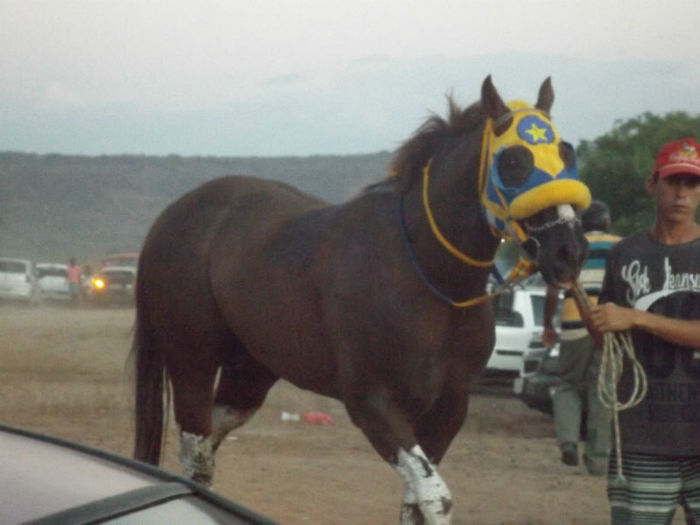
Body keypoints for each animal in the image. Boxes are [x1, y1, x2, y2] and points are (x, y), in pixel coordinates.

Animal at [132, 76, 591, 524]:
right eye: (513, 161)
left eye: (566, 153)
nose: (568, 251)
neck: (428, 278)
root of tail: (174, 214)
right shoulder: (374, 404)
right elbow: (435, 497)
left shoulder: (448, 409)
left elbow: (416, 503)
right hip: (192, 362)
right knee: (195, 455)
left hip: (249, 373)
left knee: (207, 449)